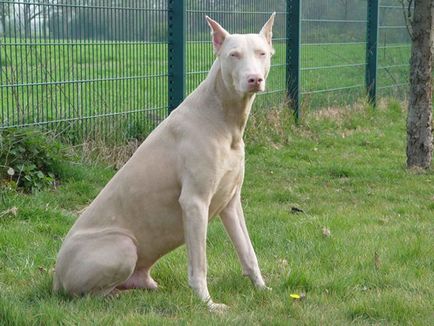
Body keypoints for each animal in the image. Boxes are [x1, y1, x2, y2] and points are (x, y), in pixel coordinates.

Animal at [54, 14, 276, 312]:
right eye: (234, 55)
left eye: (261, 53)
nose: (254, 79)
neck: (223, 119)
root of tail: (55, 276)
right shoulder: (194, 203)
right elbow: (199, 264)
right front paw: (208, 305)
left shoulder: (231, 203)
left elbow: (248, 252)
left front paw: (262, 289)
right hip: (123, 245)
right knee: (91, 296)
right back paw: (118, 297)